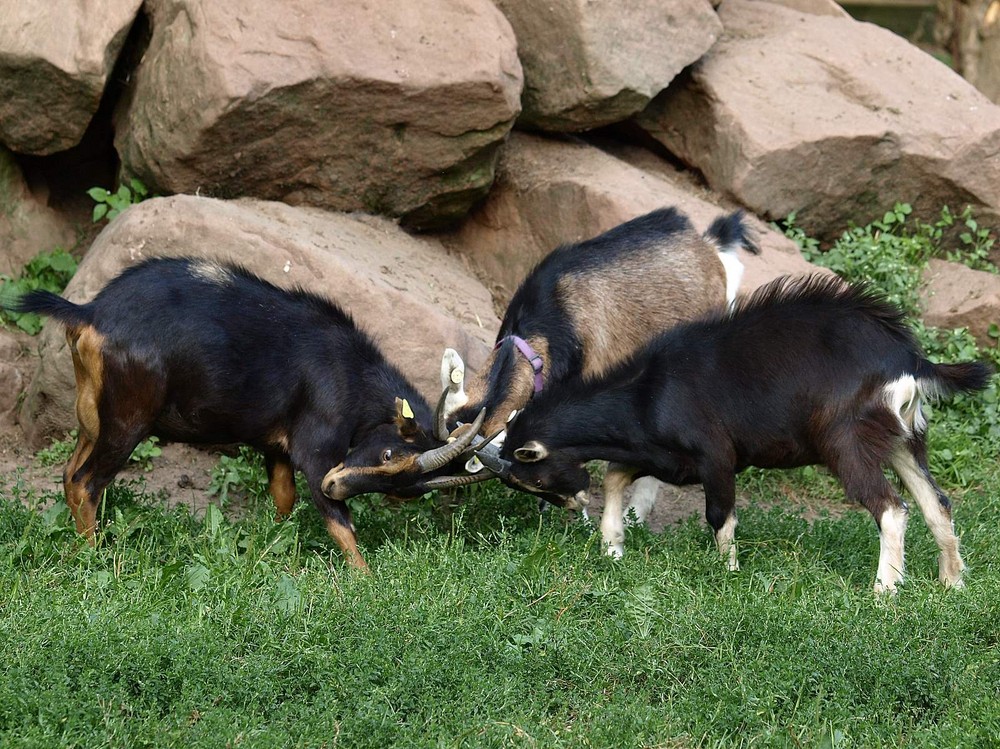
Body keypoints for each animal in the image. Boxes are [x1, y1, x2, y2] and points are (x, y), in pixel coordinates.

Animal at [9, 258, 482, 568]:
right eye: (387, 455)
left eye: (404, 492)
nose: (334, 485)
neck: (352, 371)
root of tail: (91, 313)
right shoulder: (317, 451)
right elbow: (339, 522)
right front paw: (365, 581)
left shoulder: (277, 446)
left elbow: (284, 497)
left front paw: (273, 542)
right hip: (128, 418)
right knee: (87, 483)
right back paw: (93, 559)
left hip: (93, 414)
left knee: (70, 474)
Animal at [484, 272, 992, 592]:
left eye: (531, 475)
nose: (573, 509)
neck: (648, 391)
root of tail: (909, 361)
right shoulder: (663, 457)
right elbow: (614, 475)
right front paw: (613, 548)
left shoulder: (715, 456)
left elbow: (719, 516)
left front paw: (728, 575)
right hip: (905, 440)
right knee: (936, 503)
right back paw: (951, 583)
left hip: (846, 441)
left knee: (891, 507)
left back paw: (884, 591)